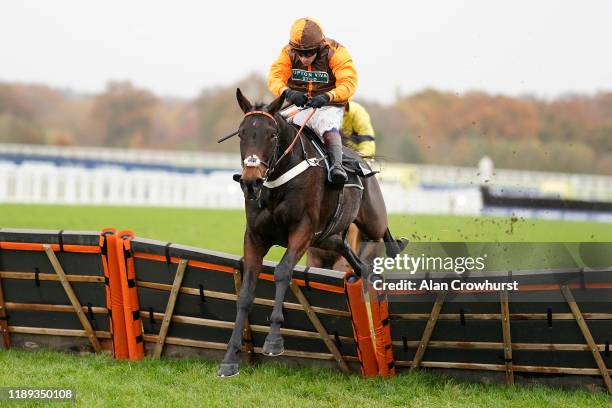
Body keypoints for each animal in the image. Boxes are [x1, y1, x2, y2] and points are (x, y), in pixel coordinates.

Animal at [218, 88, 404, 376]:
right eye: (242, 133)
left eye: (271, 135)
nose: (251, 182)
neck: (277, 183)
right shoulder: (255, 237)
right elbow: (246, 294)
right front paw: (230, 358)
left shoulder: (302, 231)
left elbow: (283, 272)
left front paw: (274, 340)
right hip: (327, 238)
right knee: (350, 254)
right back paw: (364, 272)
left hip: (371, 219)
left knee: (381, 229)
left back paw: (394, 248)